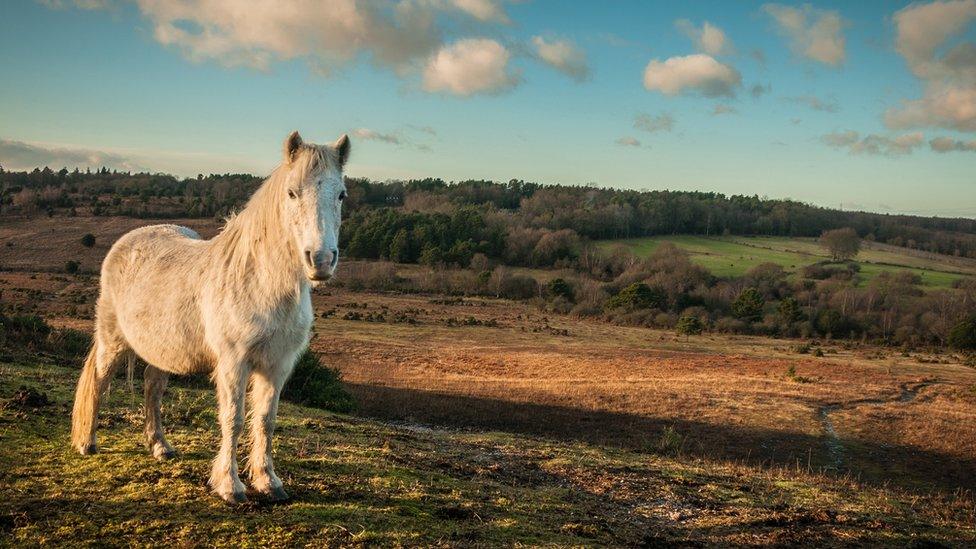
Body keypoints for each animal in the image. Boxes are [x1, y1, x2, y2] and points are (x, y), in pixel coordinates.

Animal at [69, 131, 350, 504]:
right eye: (292, 192)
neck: (260, 281)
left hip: (162, 349)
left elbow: (265, 420)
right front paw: (230, 486)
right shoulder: (233, 362)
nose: (320, 260)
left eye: (341, 194)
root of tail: (127, 241)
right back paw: (87, 443)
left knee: (153, 387)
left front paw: (268, 482)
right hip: (112, 340)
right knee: (100, 381)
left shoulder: (277, 365)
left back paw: (160, 446)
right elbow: (233, 419)